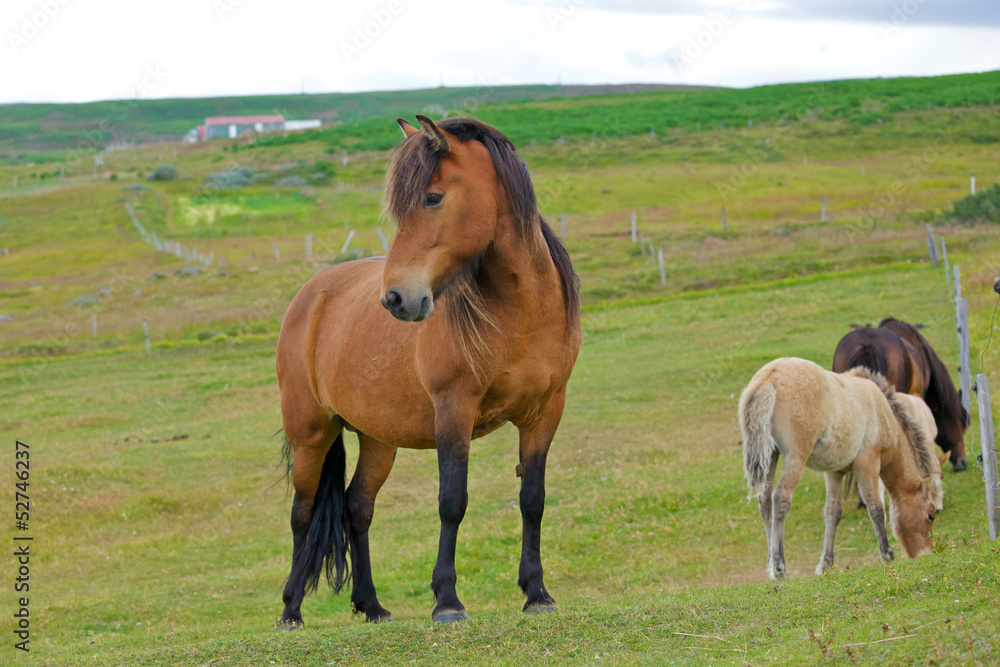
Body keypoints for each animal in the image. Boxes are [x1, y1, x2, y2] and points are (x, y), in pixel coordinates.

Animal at [278, 112, 584, 628]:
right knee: (302, 513)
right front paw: (447, 601)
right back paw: (291, 610)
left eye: (433, 197)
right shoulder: (454, 411)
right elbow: (452, 502)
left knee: (358, 507)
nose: (396, 298)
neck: (520, 313)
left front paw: (537, 593)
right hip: (310, 434)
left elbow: (533, 499)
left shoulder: (546, 412)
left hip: (377, 439)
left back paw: (372, 605)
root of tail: (310, 294)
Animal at [740, 358, 940, 580]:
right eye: (930, 515)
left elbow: (833, 512)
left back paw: (770, 562)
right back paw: (779, 567)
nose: (926, 553)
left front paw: (826, 564)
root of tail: (769, 377)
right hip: (795, 457)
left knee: (764, 500)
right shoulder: (867, 465)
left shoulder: (834, 472)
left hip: (771, 455)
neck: (883, 412)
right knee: (780, 497)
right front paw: (887, 555)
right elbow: (876, 508)